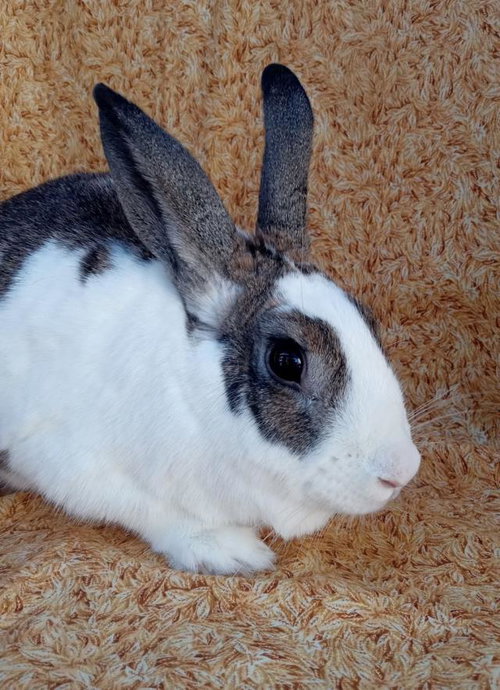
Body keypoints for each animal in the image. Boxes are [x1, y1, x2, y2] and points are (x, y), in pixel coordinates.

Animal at [0, 64, 420, 574]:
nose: (400, 472)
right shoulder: (71, 463)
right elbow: (154, 512)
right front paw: (234, 553)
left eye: (369, 320)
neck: (189, 397)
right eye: (287, 361)